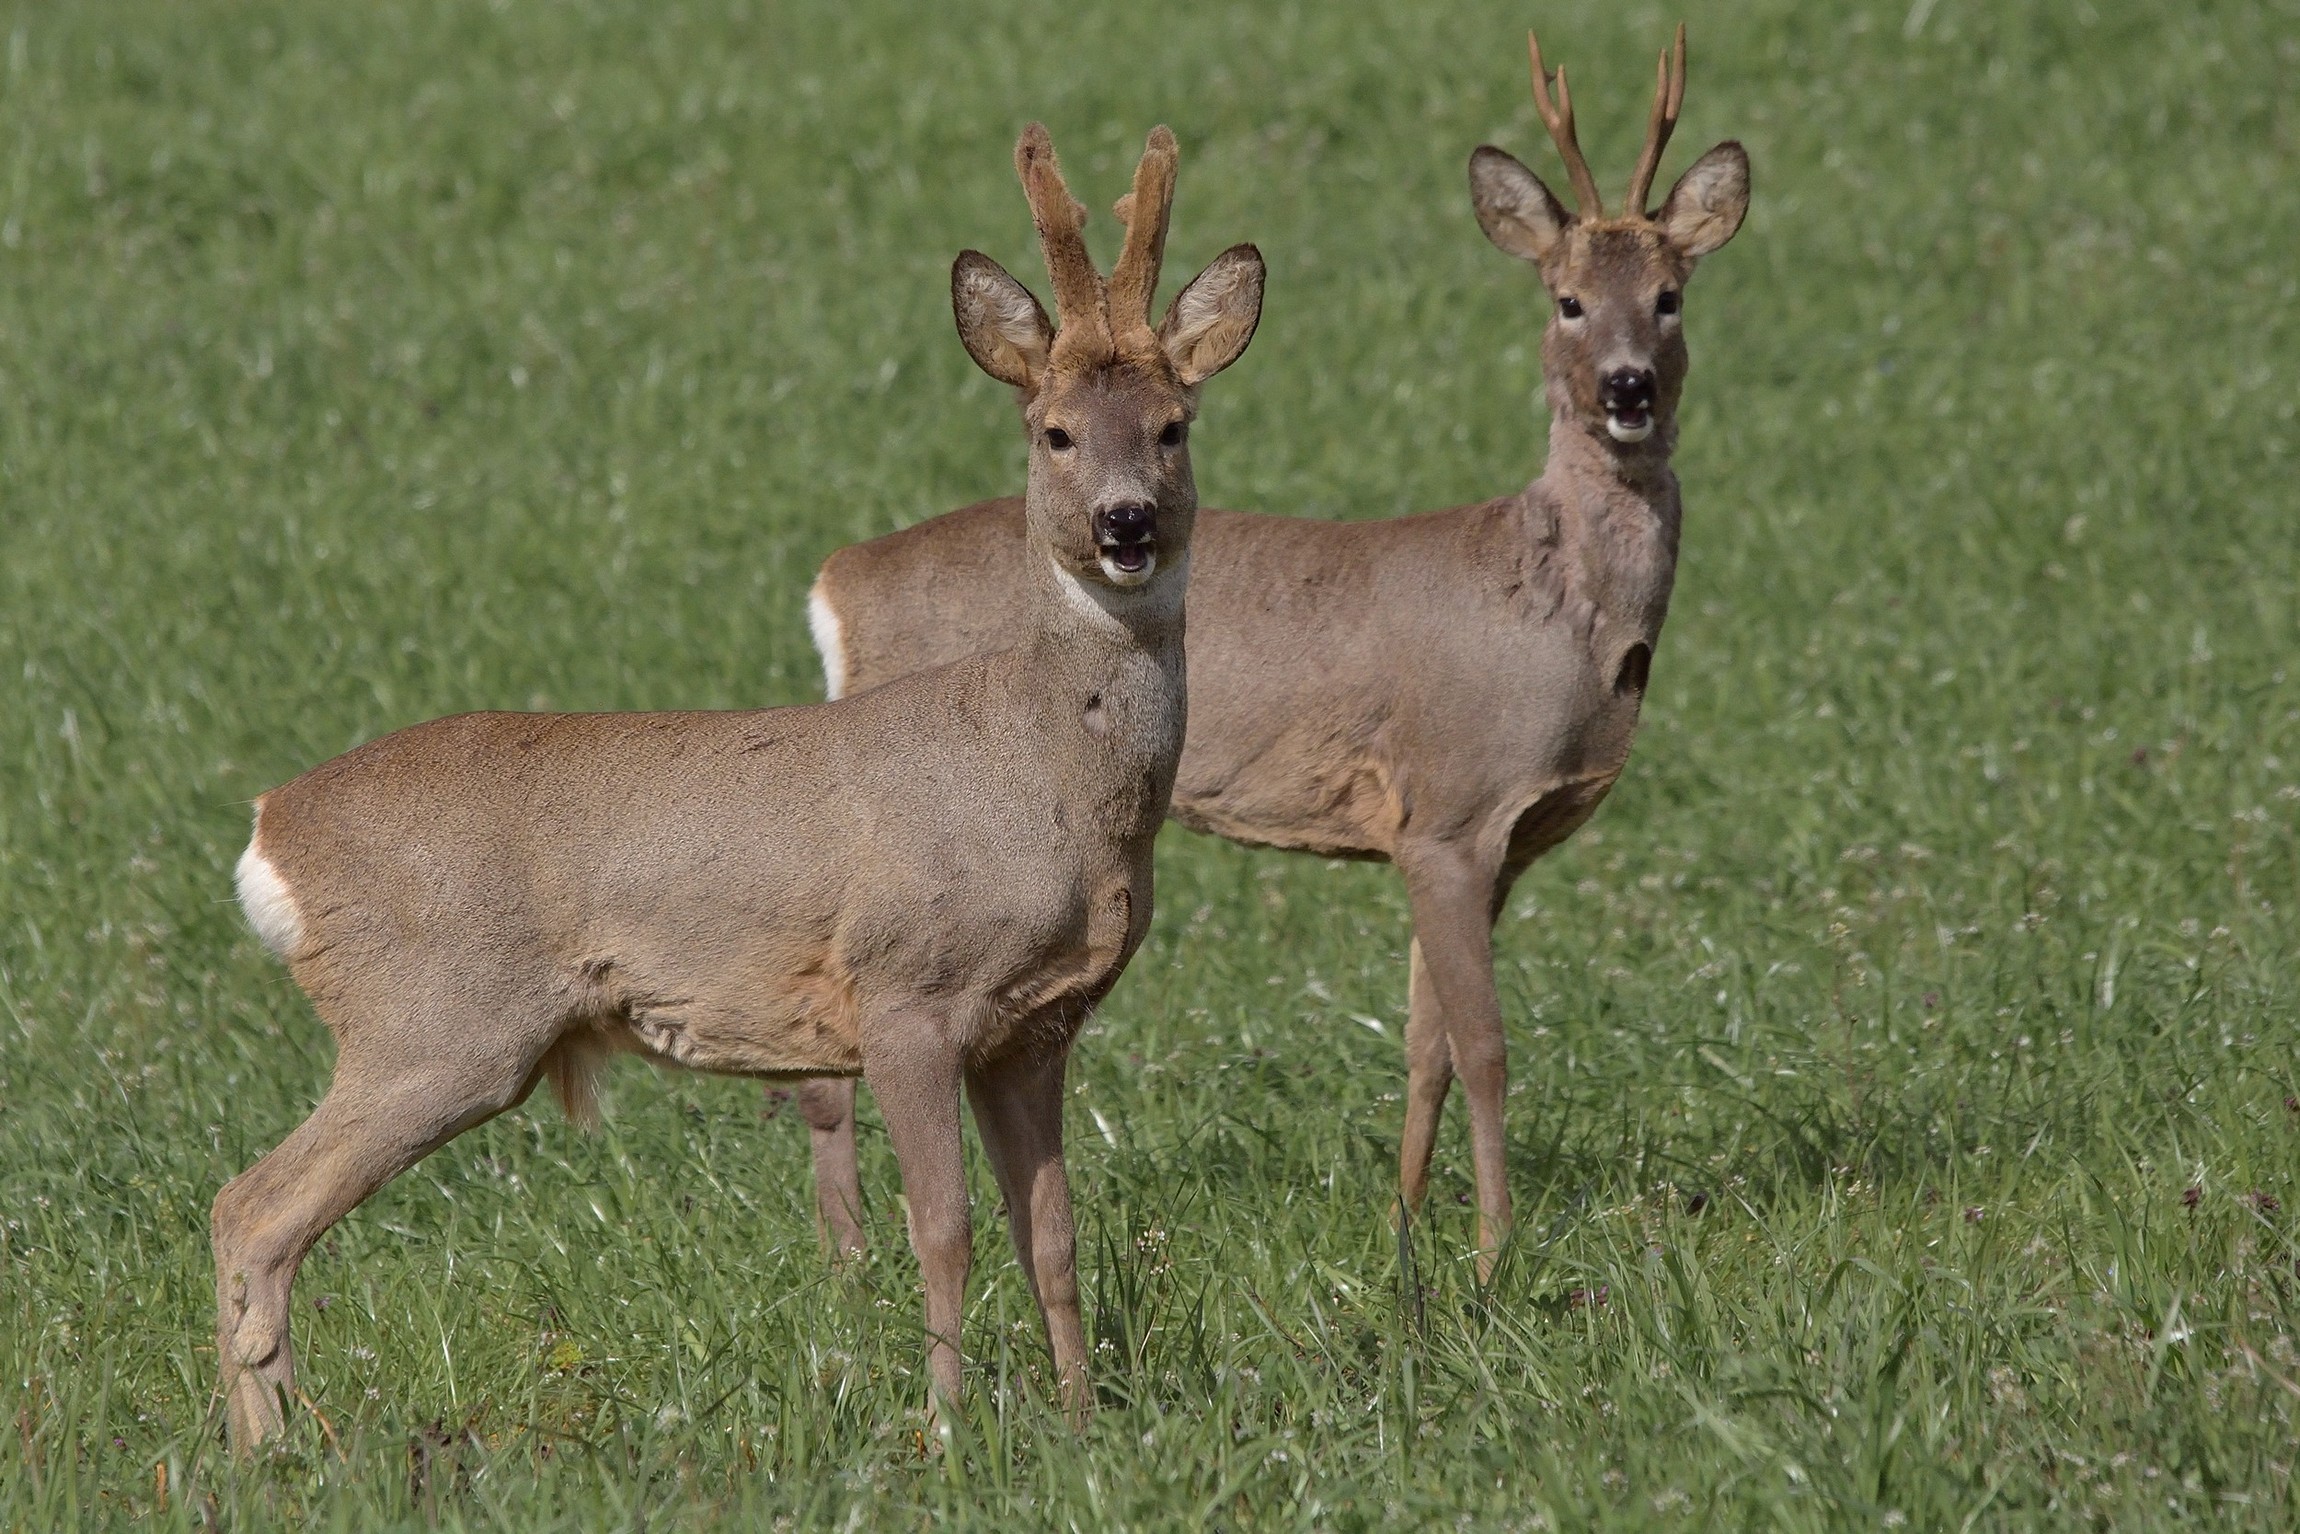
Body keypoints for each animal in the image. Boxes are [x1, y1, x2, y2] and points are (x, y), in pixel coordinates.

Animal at [211, 123, 1260, 1453]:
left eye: (1173, 425)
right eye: (1053, 433)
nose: (1125, 523)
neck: (1043, 777)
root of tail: (268, 834)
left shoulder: (1034, 1028)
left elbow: (1055, 1237)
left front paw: (1080, 1424)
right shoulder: (903, 991)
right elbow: (945, 1229)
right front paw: (946, 1427)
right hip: (432, 1019)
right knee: (249, 1206)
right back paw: (275, 1453)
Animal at [791, 30, 1738, 1278]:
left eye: (1670, 297)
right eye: (1568, 300)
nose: (1626, 387)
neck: (1555, 612)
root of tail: (834, 583)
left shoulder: (1476, 839)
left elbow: (1425, 1044)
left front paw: (1403, 1226)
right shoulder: (1449, 808)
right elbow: (1483, 1044)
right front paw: (1493, 1254)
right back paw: (854, 1271)